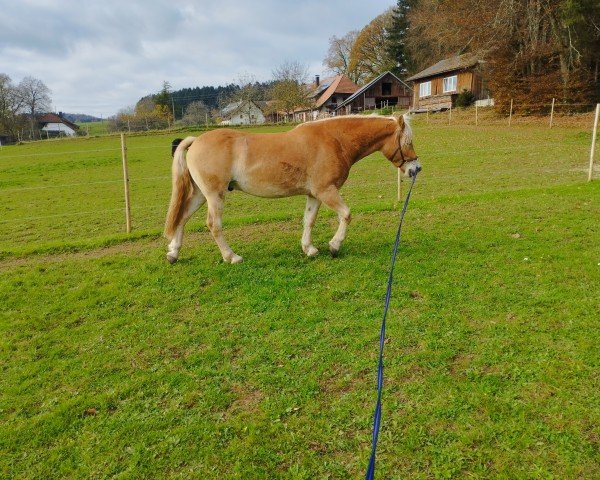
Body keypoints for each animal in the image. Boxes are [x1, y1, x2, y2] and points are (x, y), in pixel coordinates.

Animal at [162, 114, 420, 264]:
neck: (335, 140)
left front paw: (309, 249)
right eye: (407, 142)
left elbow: (309, 221)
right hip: (215, 195)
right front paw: (334, 246)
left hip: (200, 195)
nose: (416, 168)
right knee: (213, 225)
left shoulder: (314, 195)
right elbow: (346, 215)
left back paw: (174, 253)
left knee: (182, 218)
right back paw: (231, 256)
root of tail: (195, 141)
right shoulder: (327, 191)